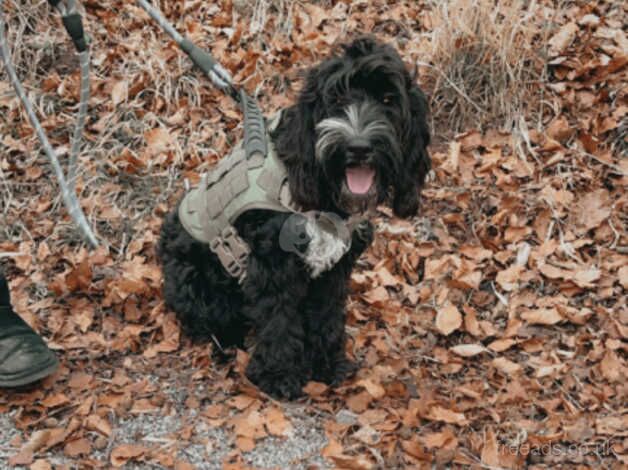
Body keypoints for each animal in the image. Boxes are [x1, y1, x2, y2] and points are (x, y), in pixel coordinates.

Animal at [158, 35, 432, 398]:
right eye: (336, 98)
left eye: (388, 99)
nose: (359, 147)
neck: (325, 199)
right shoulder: (273, 267)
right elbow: (279, 320)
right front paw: (278, 375)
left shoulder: (333, 272)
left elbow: (326, 316)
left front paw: (327, 364)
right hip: (197, 282)